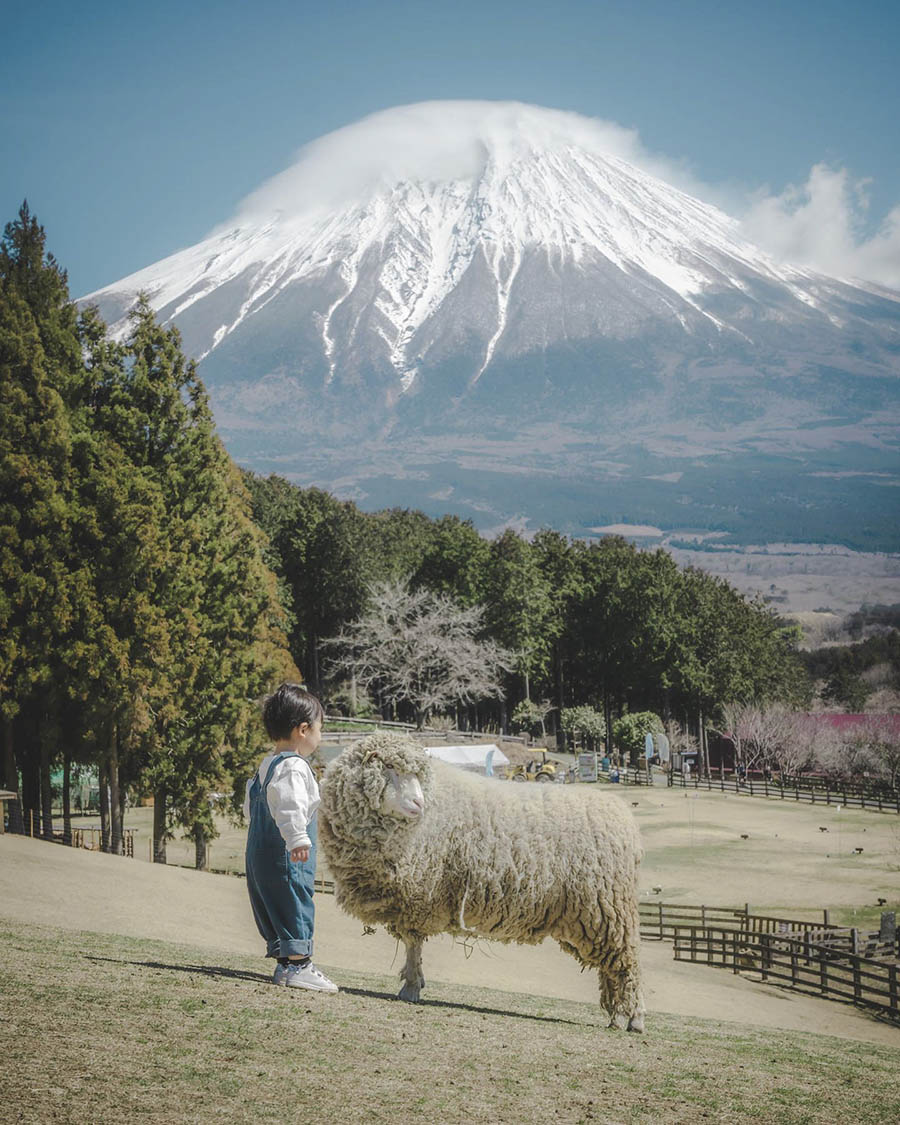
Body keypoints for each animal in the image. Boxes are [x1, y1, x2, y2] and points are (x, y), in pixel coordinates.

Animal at [319, 733, 643, 1030]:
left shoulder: (418, 896)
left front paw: (411, 987)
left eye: (418, 775)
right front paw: (413, 983)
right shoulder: (411, 901)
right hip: (594, 916)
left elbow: (413, 944)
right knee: (610, 968)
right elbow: (414, 945)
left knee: (626, 963)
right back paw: (616, 1017)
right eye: (388, 767)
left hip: (609, 909)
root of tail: (625, 819)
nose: (418, 803)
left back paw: (633, 1018)